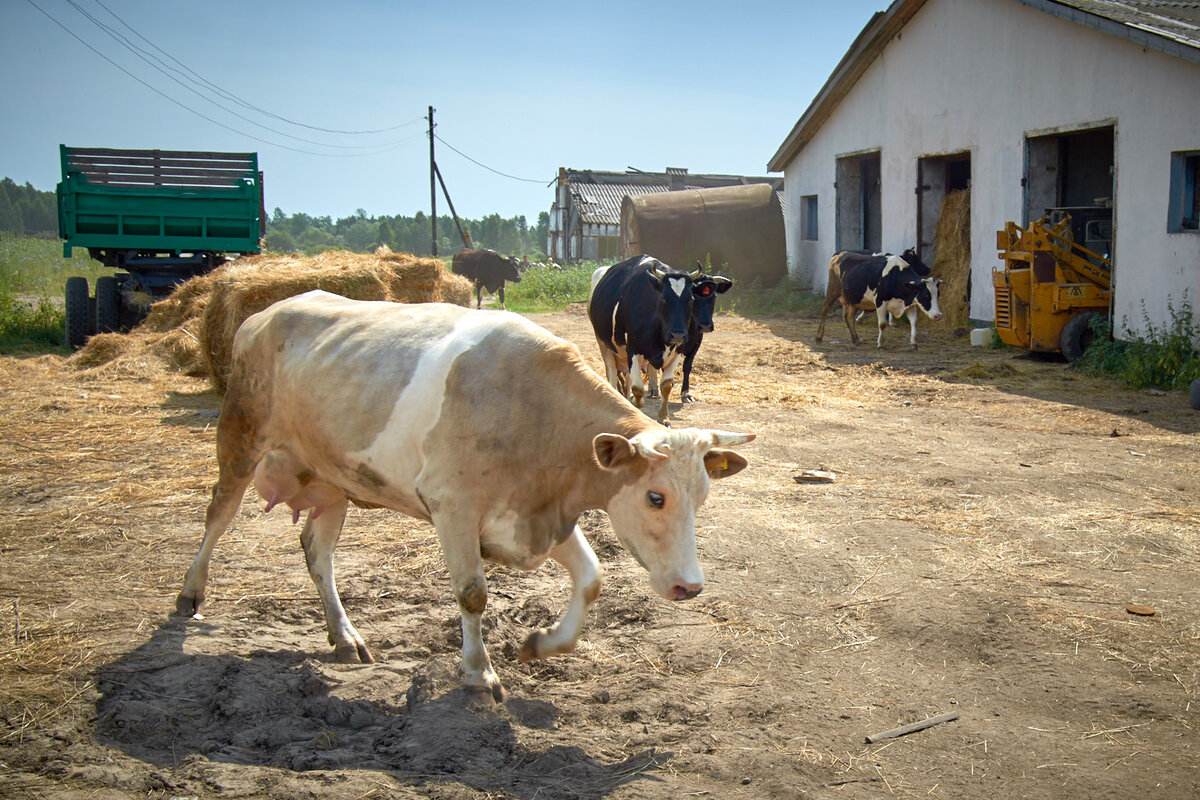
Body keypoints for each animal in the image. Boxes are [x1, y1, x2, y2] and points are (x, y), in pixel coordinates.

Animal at [175, 292, 748, 700]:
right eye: (655, 497)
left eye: (701, 497)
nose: (691, 587)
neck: (538, 416)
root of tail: (264, 313)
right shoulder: (452, 505)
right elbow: (473, 594)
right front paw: (478, 672)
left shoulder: (535, 513)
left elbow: (591, 580)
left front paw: (541, 645)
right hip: (240, 437)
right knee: (217, 515)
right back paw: (190, 595)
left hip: (333, 480)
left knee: (318, 554)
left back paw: (345, 637)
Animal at [585, 255, 700, 424]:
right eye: (664, 298)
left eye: (691, 299)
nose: (678, 334)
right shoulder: (633, 350)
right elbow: (638, 389)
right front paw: (635, 403)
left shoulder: (677, 351)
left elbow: (666, 385)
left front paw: (663, 418)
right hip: (603, 344)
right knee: (612, 377)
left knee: (626, 380)